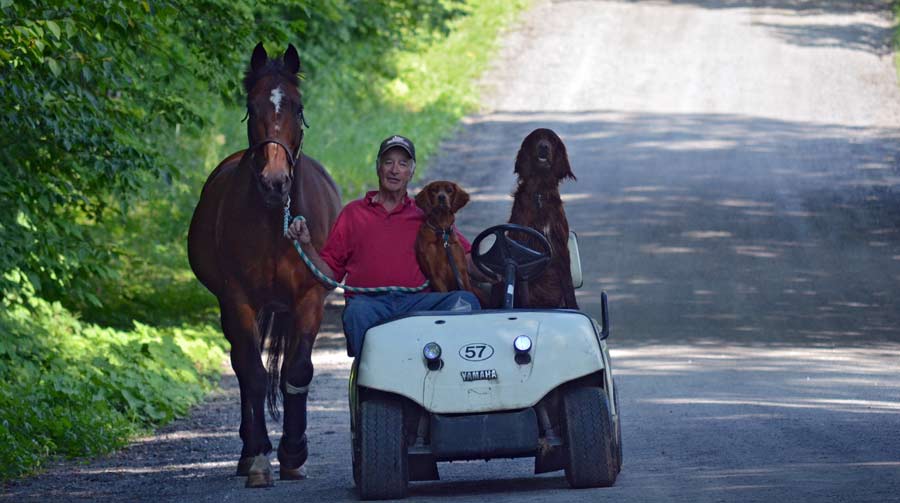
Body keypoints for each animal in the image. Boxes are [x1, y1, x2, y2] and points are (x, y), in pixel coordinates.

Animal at [189, 44, 342, 488]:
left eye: (297, 106)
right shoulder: (237, 301)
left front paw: (293, 454)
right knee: (244, 367)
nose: (275, 182)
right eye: (250, 106)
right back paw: (247, 453)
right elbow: (254, 375)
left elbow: (297, 371)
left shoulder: (309, 299)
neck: (276, 220)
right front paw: (259, 458)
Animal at [500, 128, 576, 310]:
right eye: (536, 138)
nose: (543, 147)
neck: (539, 193)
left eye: (552, 140)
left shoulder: (560, 245)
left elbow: (569, 286)